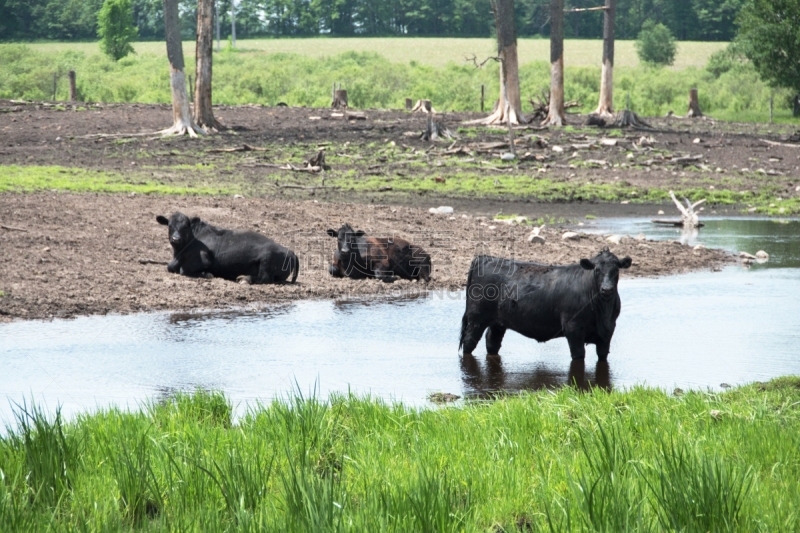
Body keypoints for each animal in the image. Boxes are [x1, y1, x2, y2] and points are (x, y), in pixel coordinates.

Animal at [155, 212, 298, 284]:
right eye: (169, 226)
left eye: (185, 227)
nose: (175, 239)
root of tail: (290, 251)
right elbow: (170, 266)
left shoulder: (205, 259)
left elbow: (183, 270)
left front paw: (207, 274)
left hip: (266, 260)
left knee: (265, 278)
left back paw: (245, 278)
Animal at [460, 248, 636, 358]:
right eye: (597, 270)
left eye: (616, 270)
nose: (607, 289)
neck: (603, 313)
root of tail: (484, 258)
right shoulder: (573, 329)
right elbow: (578, 356)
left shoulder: (608, 332)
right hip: (476, 318)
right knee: (469, 343)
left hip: (498, 322)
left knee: (492, 342)